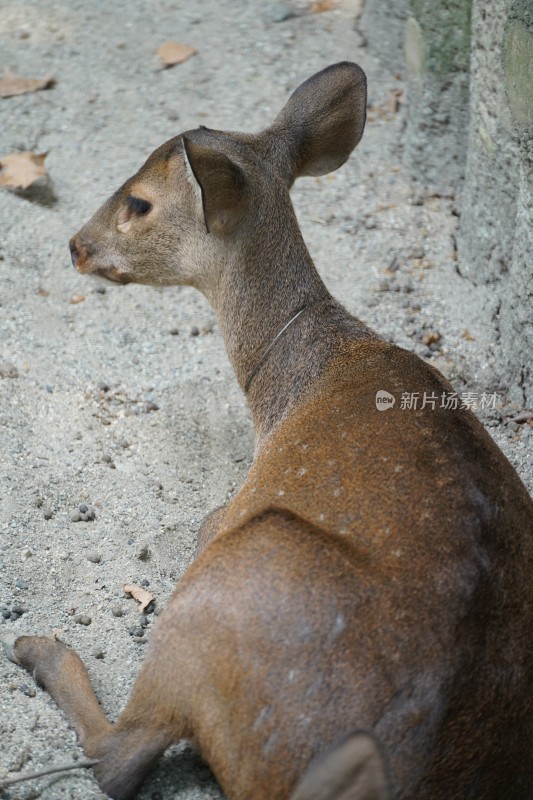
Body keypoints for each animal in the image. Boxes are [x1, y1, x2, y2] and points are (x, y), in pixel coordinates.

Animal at [2, 65, 528, 800]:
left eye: (139, 202)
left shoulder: (229, 514)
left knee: (123, 754)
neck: (282, 380)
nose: (75, 244)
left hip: (230, 580)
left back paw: (39, 648)